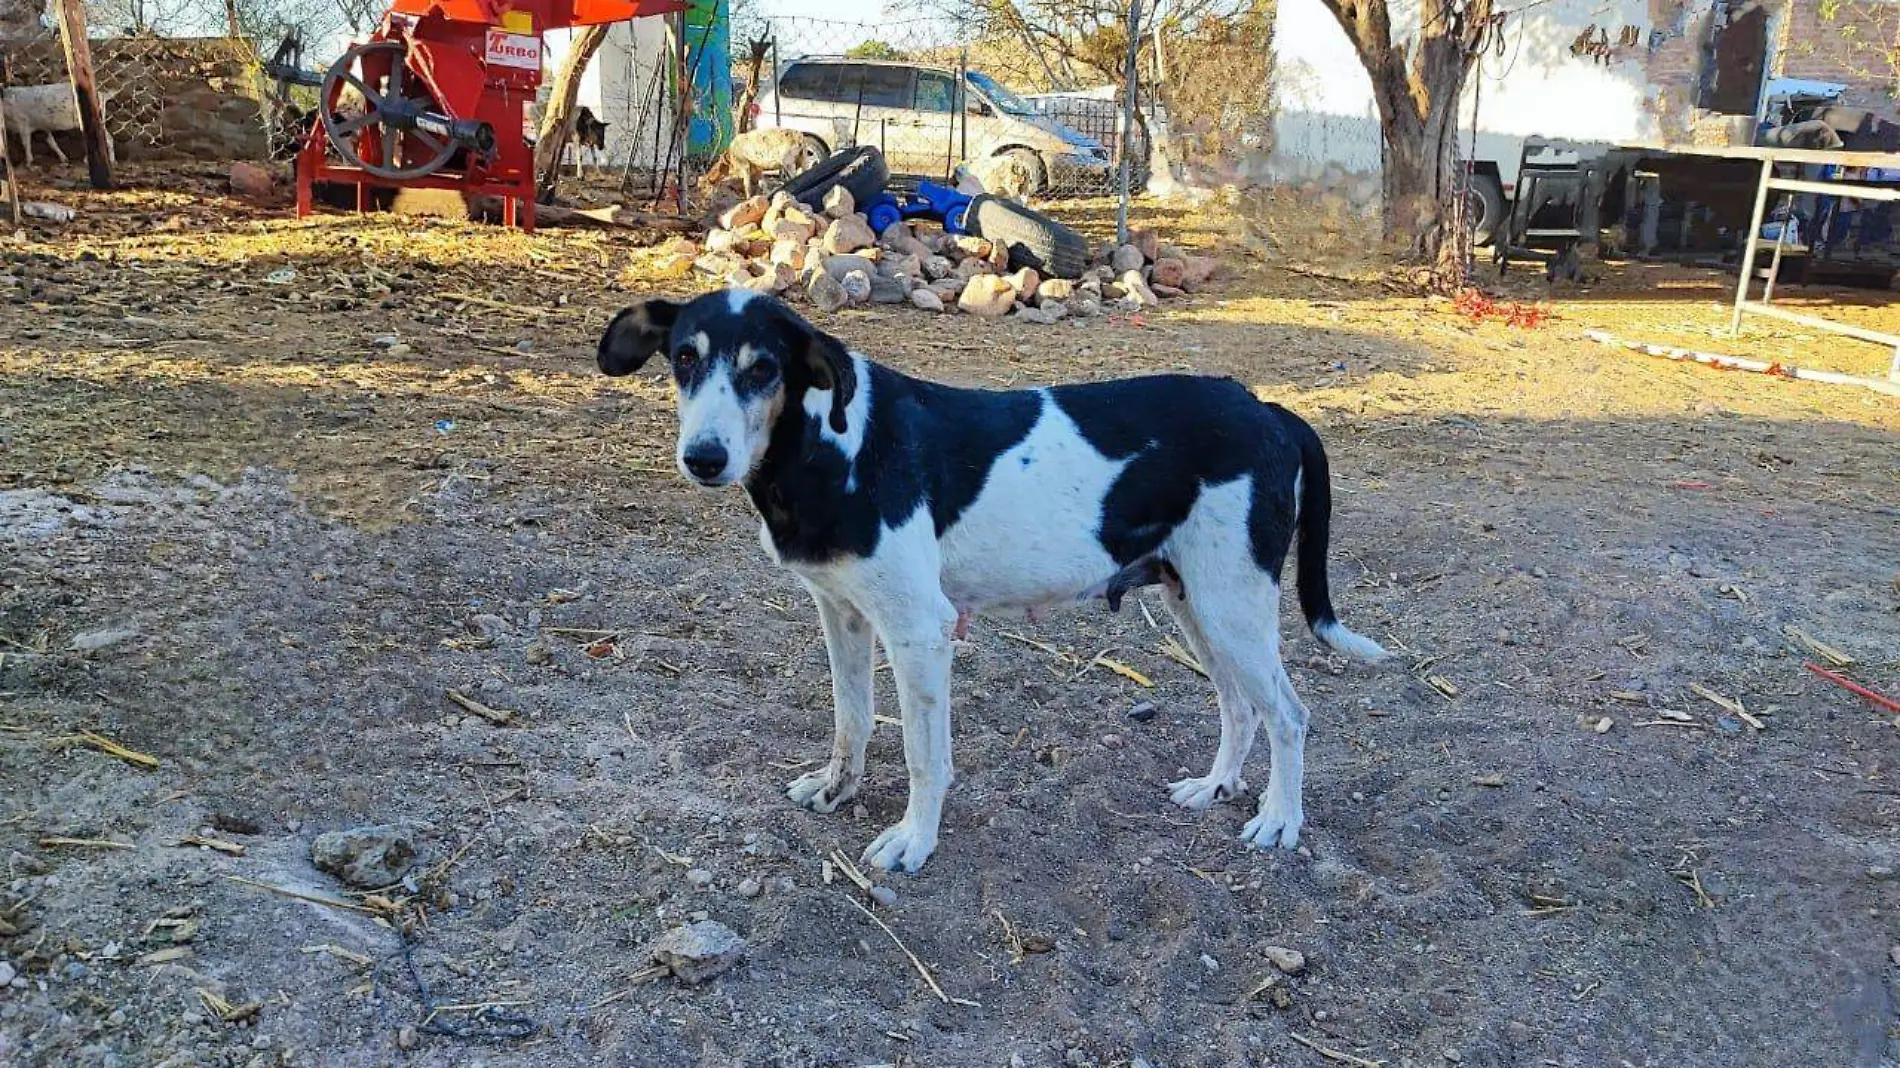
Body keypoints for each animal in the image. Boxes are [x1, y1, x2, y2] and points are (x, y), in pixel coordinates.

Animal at [600, 288, 1390, 866]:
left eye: (763, 369)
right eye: (683, 359)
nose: (703, 457)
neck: (829, 446)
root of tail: (1265, 408)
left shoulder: (920, 633)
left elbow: (924, 755)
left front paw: (914, 840)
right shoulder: (842, 613)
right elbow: (852, 720)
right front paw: (837, 789)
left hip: (1232, 605)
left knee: (1288, 714)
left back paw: (1279, 820)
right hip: (1196, 602)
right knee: (1241, 706)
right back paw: (1217, 785)